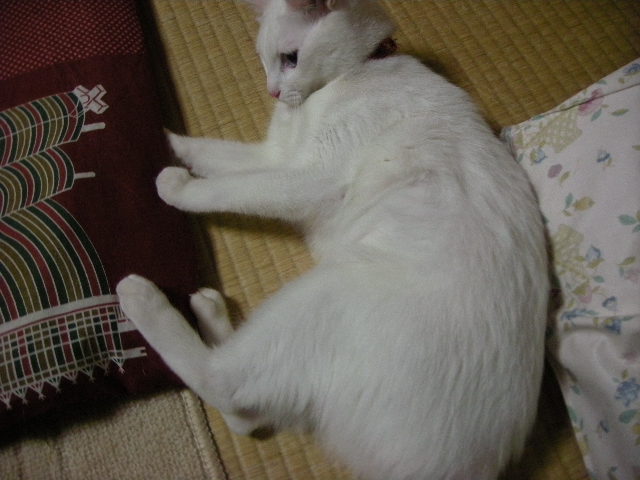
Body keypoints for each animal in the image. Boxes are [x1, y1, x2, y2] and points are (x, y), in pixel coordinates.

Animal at [116, 0, 549, 478]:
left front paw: (174, 185)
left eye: (290, 58)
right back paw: (207, 308)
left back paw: (141, 297)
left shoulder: (306, 176)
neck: (354, 71)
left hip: (330, 291)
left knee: (223, 382)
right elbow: (212, 153)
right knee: (246, 411)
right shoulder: (274, 155)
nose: (271, 91)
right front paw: (164, 138)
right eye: (263, 60)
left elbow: (227, 189)